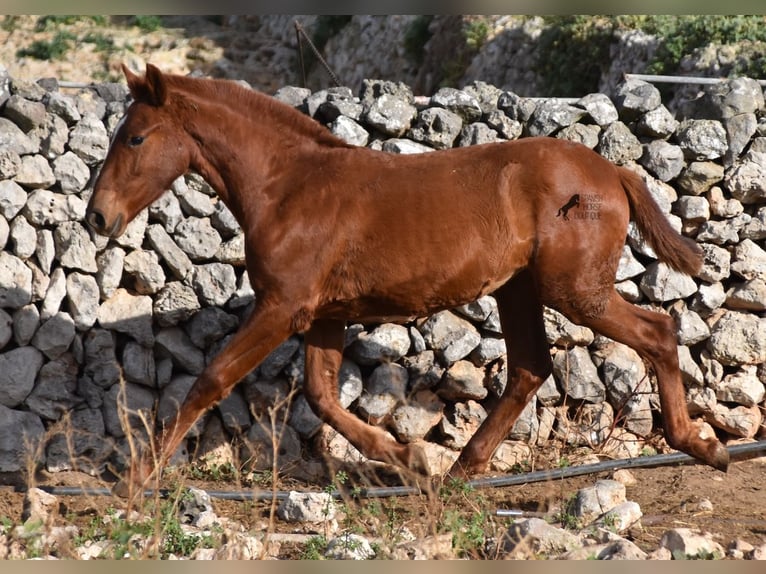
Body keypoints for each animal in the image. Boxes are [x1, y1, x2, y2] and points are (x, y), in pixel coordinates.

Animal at [87, 64, 728, 500]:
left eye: (135, 137)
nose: (97, 217)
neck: (290, 186)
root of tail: (613, 172)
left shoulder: (282, 306)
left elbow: (212, 379)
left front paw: (135, 479)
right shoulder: (324, 313)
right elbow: (321, 396)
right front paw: (407, 461)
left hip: (575, 291)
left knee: (657, 331)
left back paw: (703, 445)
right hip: (519, 289)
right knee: (529, 367)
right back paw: (462, 470)